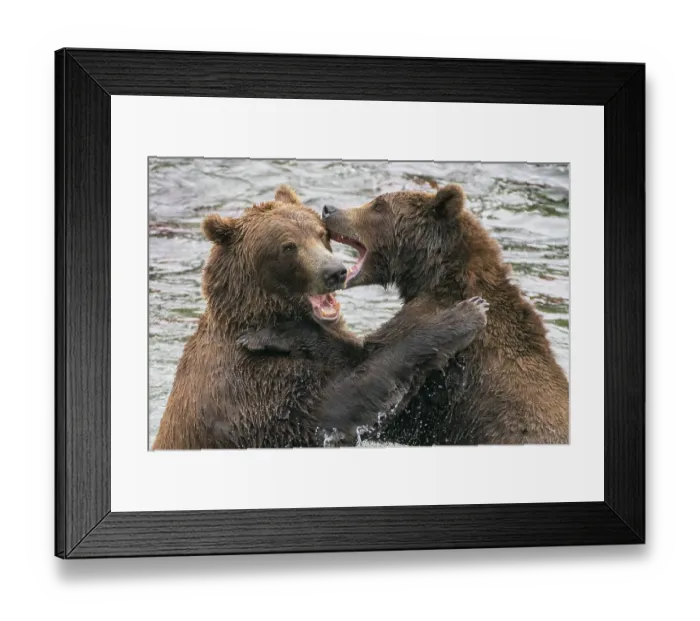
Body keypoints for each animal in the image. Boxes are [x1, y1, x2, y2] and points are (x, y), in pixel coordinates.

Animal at [152, 185, 491, 450]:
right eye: (288, 246)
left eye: (319, 234)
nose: (334, 271)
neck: (256, 315)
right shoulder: (253, 390)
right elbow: (340, 403)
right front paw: (463, 314)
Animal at [248, 184, 569, 445]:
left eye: (378, 205)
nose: (329, 209)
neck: (436, 274)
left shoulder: (437, 331)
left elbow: (369, 359)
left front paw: (268, 333)